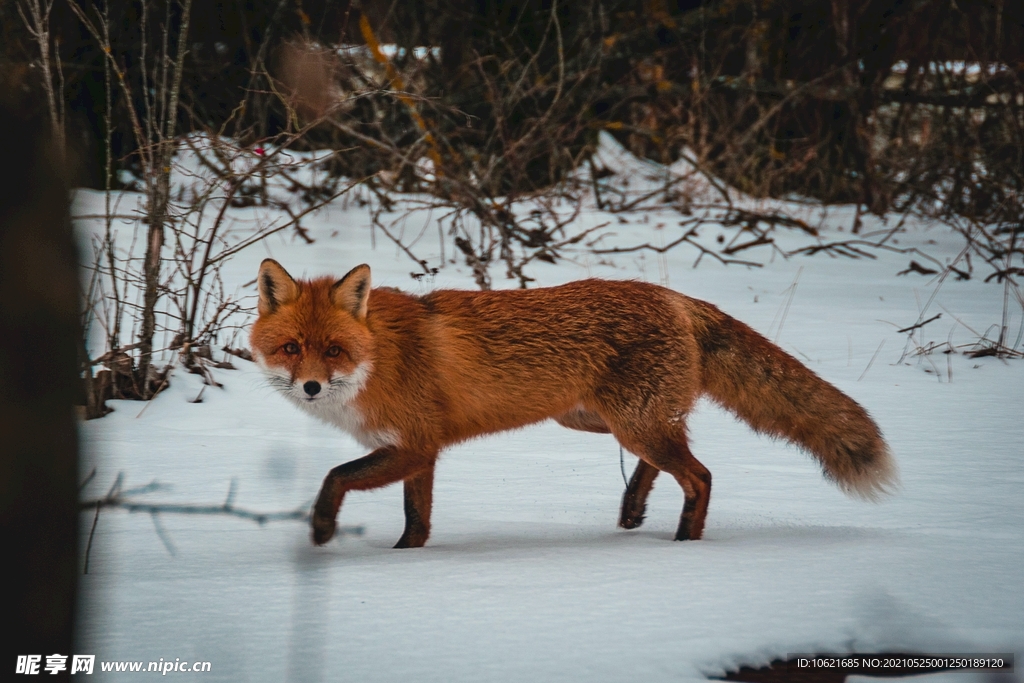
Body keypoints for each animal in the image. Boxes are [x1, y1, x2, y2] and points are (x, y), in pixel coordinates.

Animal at [249, 259, 897, 548]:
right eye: (291, 348)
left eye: (333, 350)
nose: (310, 387)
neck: (379, 356)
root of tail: (674, 296)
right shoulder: (420, 453)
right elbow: (418, 519)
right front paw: (407, 558)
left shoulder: (412, 445)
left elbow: (335, 476)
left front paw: (323, 529)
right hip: (598, 419)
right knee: (671, 458)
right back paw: (633, 510)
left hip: (628, 421)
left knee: (701, 475)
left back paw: (685, 545)